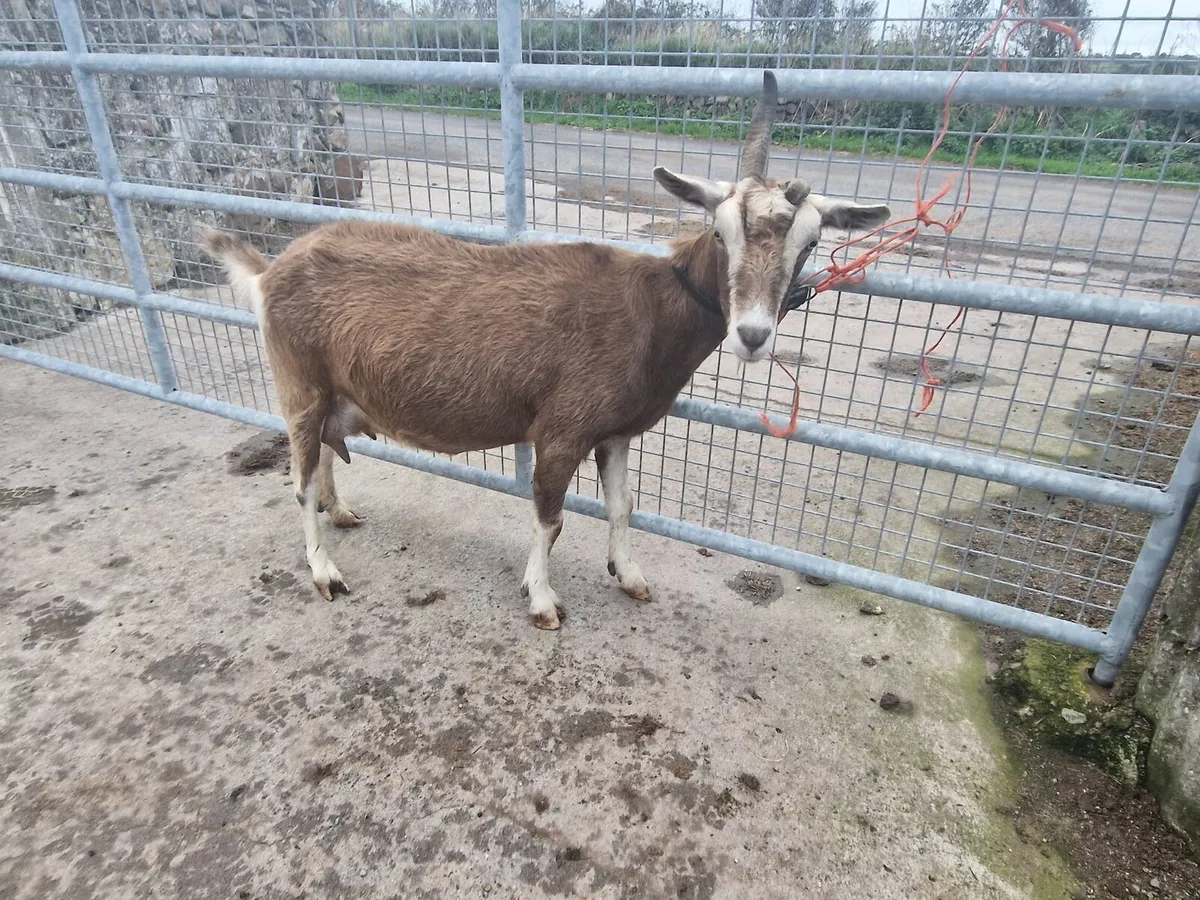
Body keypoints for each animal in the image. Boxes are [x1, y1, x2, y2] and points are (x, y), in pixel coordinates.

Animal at [201, 71, 891, 630]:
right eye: (720, 232)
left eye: (809, 243)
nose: (752, 333)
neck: (649, 309)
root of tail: (269, 271)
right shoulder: (563, 427)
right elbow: (550, 517)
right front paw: (541, 600)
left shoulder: (616, 431)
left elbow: (622, 507)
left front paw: (629, 575)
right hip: (299, 384)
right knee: (298, 478)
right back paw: (324, 572)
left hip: (332, 390)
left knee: (322, 458)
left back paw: (340, 515)